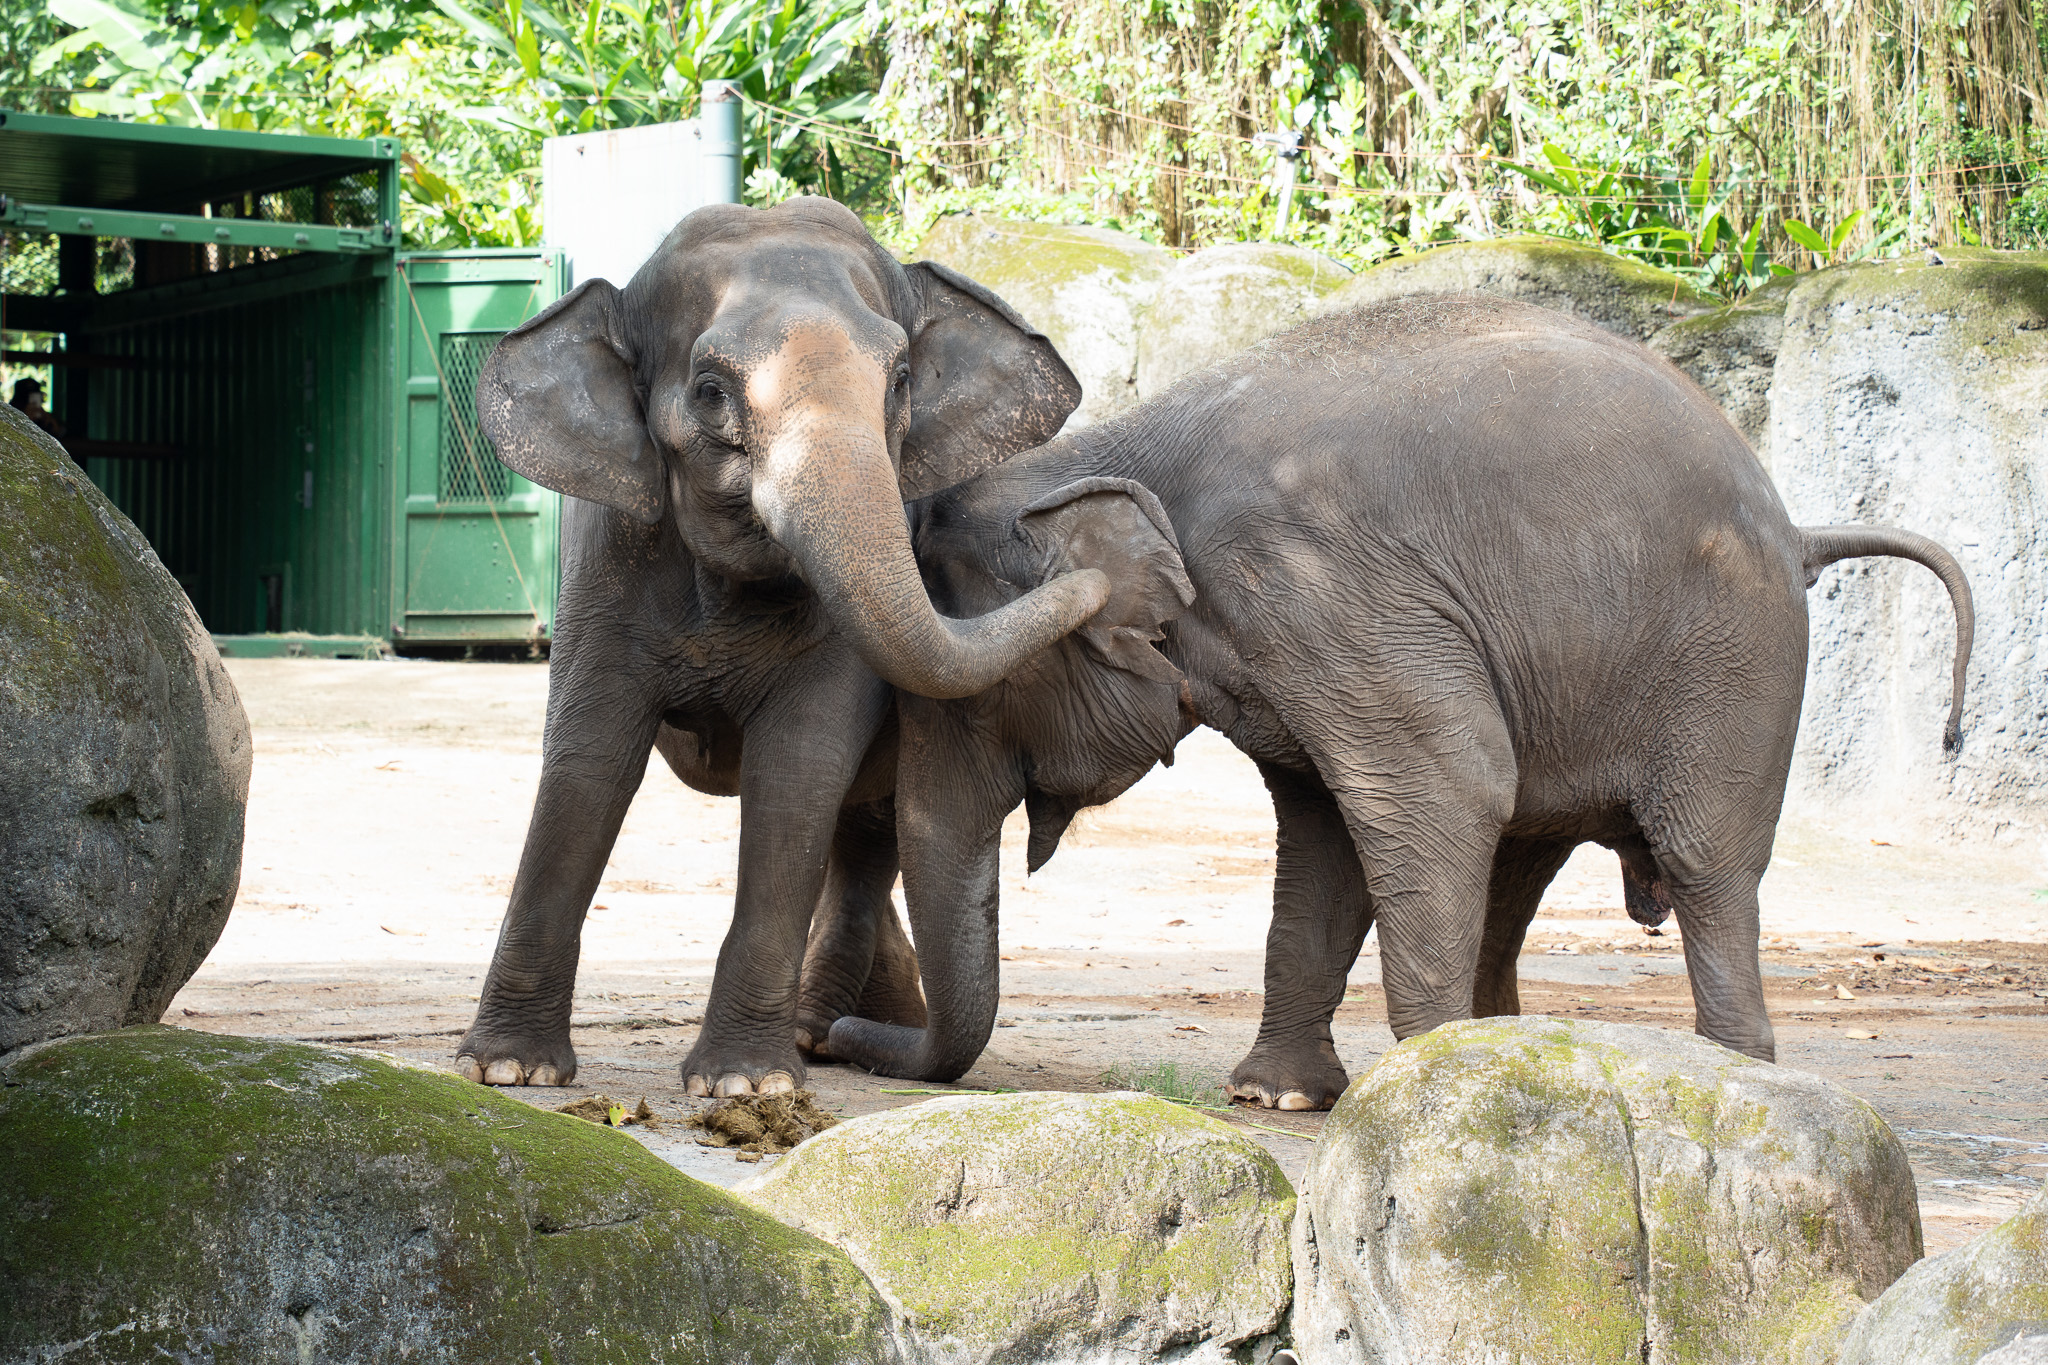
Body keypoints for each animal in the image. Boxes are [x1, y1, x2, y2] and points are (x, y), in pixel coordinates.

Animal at [454, 197, 1107, 1097]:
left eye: (901, 382)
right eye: (709, 392)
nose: (1094, 574)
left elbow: (799, 763)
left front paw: (744, 1084)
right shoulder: (607, 555)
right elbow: (590, 753)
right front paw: (507, 1069)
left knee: (866, 828)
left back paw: (820, 1031)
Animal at [820, 293, 1975, 1110]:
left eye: (971, 697)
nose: (833, 1040)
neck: (1104, 450)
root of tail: (1797, 528)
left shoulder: (1321, 589)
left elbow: (1439, 790)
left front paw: (1416, 1091)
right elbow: (1326, 833)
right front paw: (1276, 1097)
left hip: (1731, 658)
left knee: (1704, 860)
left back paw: (1733, 1076)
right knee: (1519, 855)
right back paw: (1514, 1049)